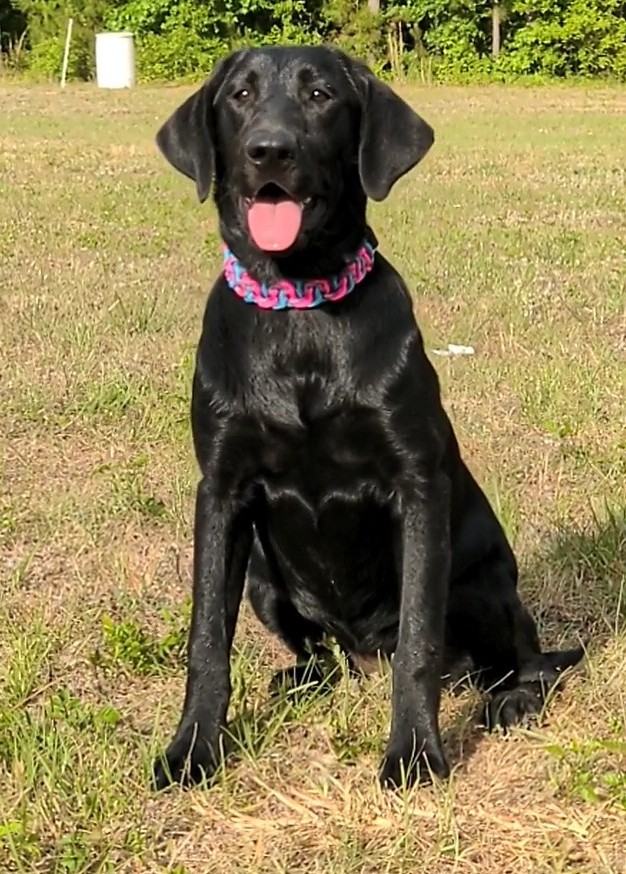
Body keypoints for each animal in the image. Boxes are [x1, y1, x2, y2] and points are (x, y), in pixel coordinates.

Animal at [151, 44, 580, 788]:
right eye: (239, 95)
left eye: (320, 94)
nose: (270, 150)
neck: (301, 308)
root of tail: (361, 654)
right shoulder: (222, 489)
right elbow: (206, 640)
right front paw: (192, 751)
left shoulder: (417, 486)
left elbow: (418, 646)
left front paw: (414, 754)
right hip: (262, 576)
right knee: (321, 657)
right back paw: (300, 678)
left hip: (481, 584)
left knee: (520, 662)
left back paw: (514, 699)